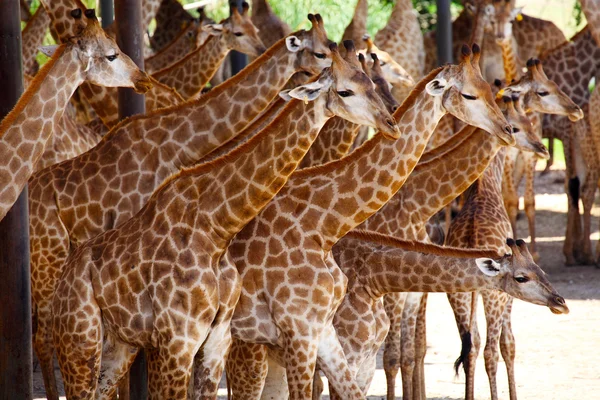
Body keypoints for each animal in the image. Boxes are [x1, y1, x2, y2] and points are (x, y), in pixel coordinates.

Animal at [51, 41, 396, 400]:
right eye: (345, 91)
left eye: (370, 83)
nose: (391, 124)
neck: (216, 228)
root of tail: (66, 273)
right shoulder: (177, 343)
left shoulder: (218, 343)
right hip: (79, 338)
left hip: (119, 343)